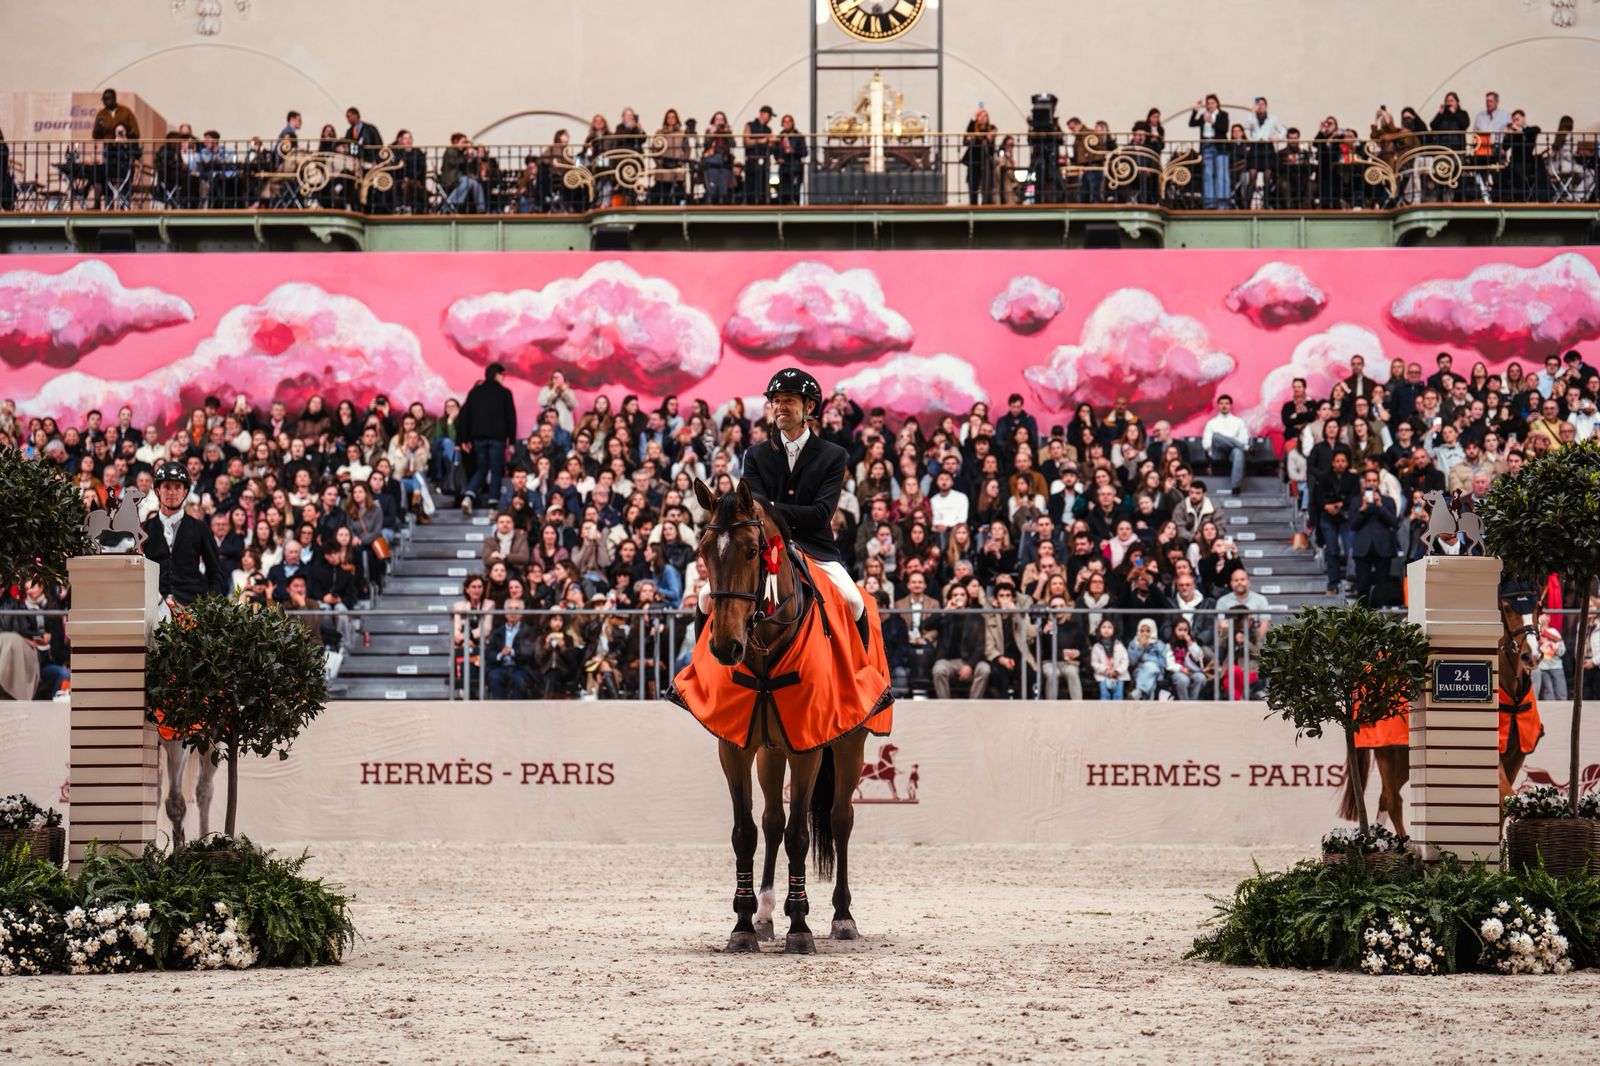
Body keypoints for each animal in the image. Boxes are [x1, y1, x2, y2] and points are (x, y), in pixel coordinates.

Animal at [684, 477, 878, 955]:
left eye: (753, 551)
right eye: (703, 550)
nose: (725, 648)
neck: (766, 644)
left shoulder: (808, 749)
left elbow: (800, 835)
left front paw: (801, 927)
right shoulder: (734, 747)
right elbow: (746, 832)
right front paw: (743, 924)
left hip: (849, 744)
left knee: (840, 819)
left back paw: (842, 917)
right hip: (771, 751)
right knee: (772, 820)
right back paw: (768, 913)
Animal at [1340, 594, 1539, 835]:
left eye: (1539, 607)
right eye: (1508, 609)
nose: (1532, 655)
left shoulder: (1516, 756)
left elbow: (1501, 805)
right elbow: (1507, 796)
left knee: (1385, 799)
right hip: (1388, 754)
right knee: (1393, 800)